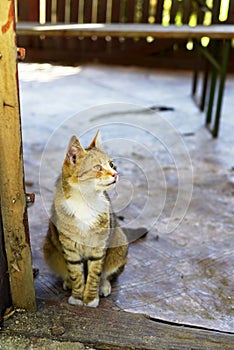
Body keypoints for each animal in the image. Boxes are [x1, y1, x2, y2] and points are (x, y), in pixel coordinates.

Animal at [43, 131, 128, 306]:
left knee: (108, 274)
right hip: (49, 249)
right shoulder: (70, 248)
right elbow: (76, 273)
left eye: (112, 165)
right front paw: (77, 296)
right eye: (98, 168)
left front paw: (90, 298)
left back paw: (104, 285)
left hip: (119, 243)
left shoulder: (98, 247)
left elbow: (95, 273)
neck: (85, 200)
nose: (115, 174)